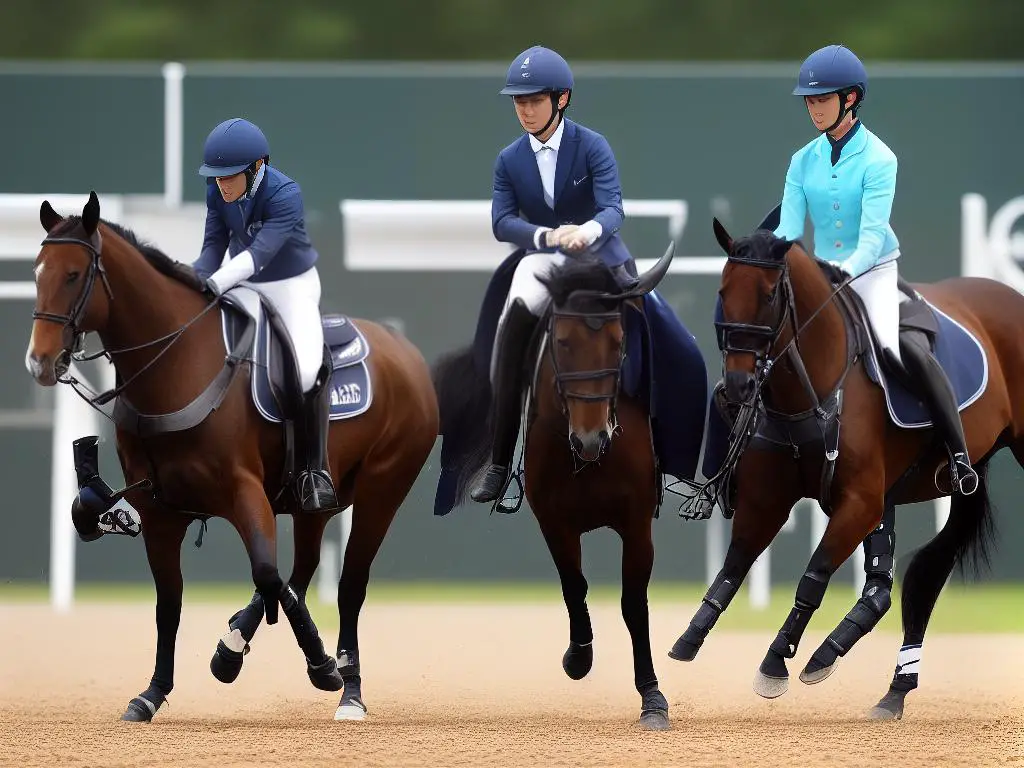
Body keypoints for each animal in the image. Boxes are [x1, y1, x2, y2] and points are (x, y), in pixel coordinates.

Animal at [667, 221, 1011, 720]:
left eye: (769, 294)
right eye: (723, 290)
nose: (737, 386)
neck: (814, 389)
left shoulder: (860, 502)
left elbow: (814, 577)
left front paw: (777, 660)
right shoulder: (769, 500)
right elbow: (734, 566)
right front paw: (690, 637)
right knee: (906, 583)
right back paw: (891, 690)